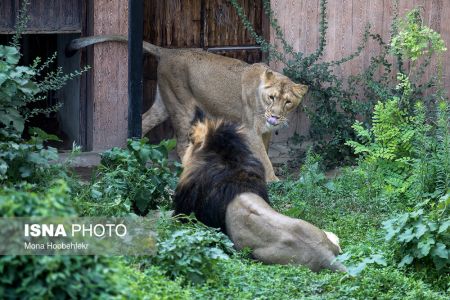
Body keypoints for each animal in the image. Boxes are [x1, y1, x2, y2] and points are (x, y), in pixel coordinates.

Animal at [67, 35, 310, 180]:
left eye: (288, 102)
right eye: (271, 97)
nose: (275, 117)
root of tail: (168, 52)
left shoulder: (265, 132)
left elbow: (265, 153)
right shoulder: (250, 129)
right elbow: (264, 157)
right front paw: (273, 180)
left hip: (164, 104)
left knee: (144, 121)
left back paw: (133, 155)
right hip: (182, 107)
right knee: (181, 143)